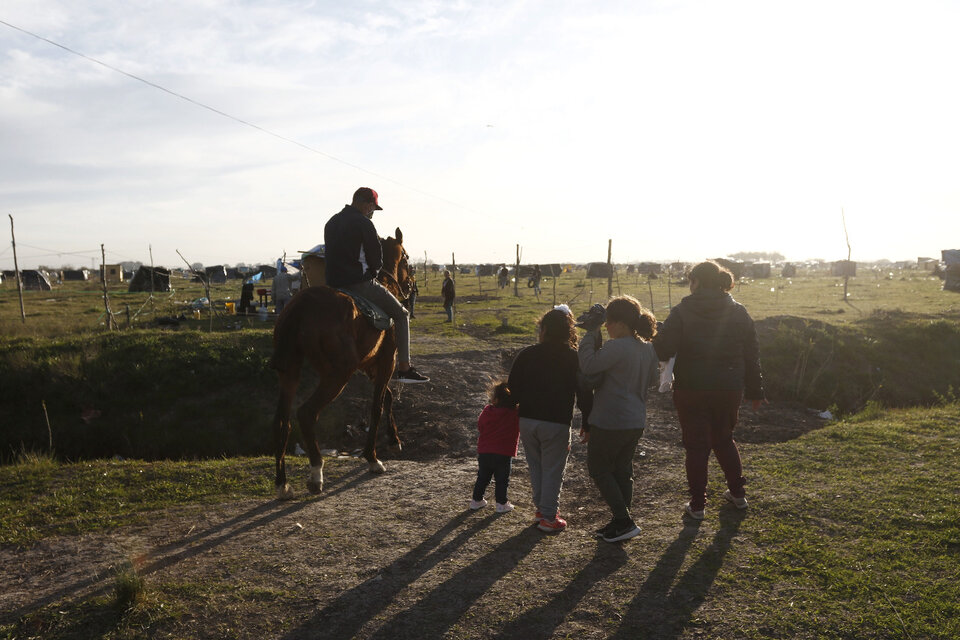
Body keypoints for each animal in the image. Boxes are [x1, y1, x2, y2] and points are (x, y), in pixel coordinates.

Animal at [274, 229, 416, 500]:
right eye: (406, 257)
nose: (409, 286)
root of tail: (301, 305)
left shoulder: (369, 365)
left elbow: (388, 397)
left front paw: (394, 439)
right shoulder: (386, 360)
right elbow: (377, 406)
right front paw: (372, 458)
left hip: (290, 371)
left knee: (282, 421)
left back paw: (282, 483)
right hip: (338, 374)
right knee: (306, 413)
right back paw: (316, 473)